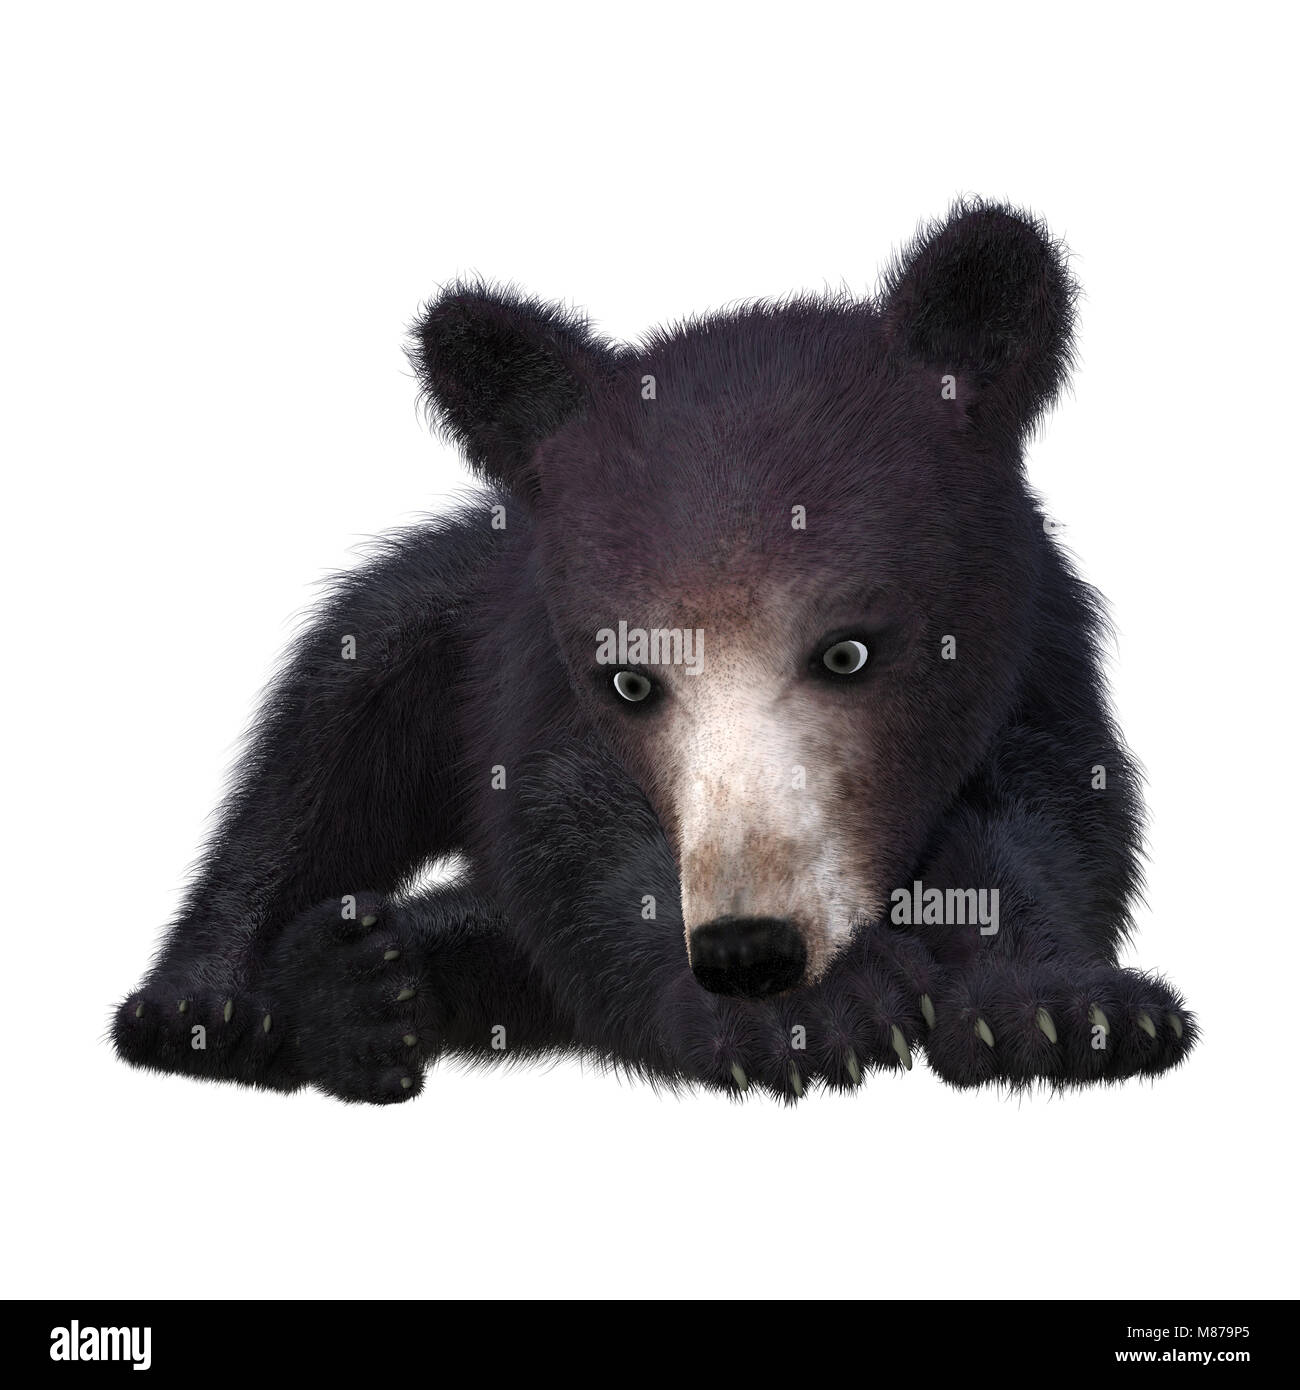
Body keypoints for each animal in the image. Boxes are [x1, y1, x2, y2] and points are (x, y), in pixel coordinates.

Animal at [112, 200, 1197, 1104]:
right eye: (629, 679)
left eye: (847, 652)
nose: (749, 951)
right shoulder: (537, 677)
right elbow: (574, 842)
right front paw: (815, 1015)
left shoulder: (1031, 655)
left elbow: (1046, 816)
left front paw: (1065, 1009)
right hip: (428, 629)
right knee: (318, 761)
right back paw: (247, 999)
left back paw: (379, 979)